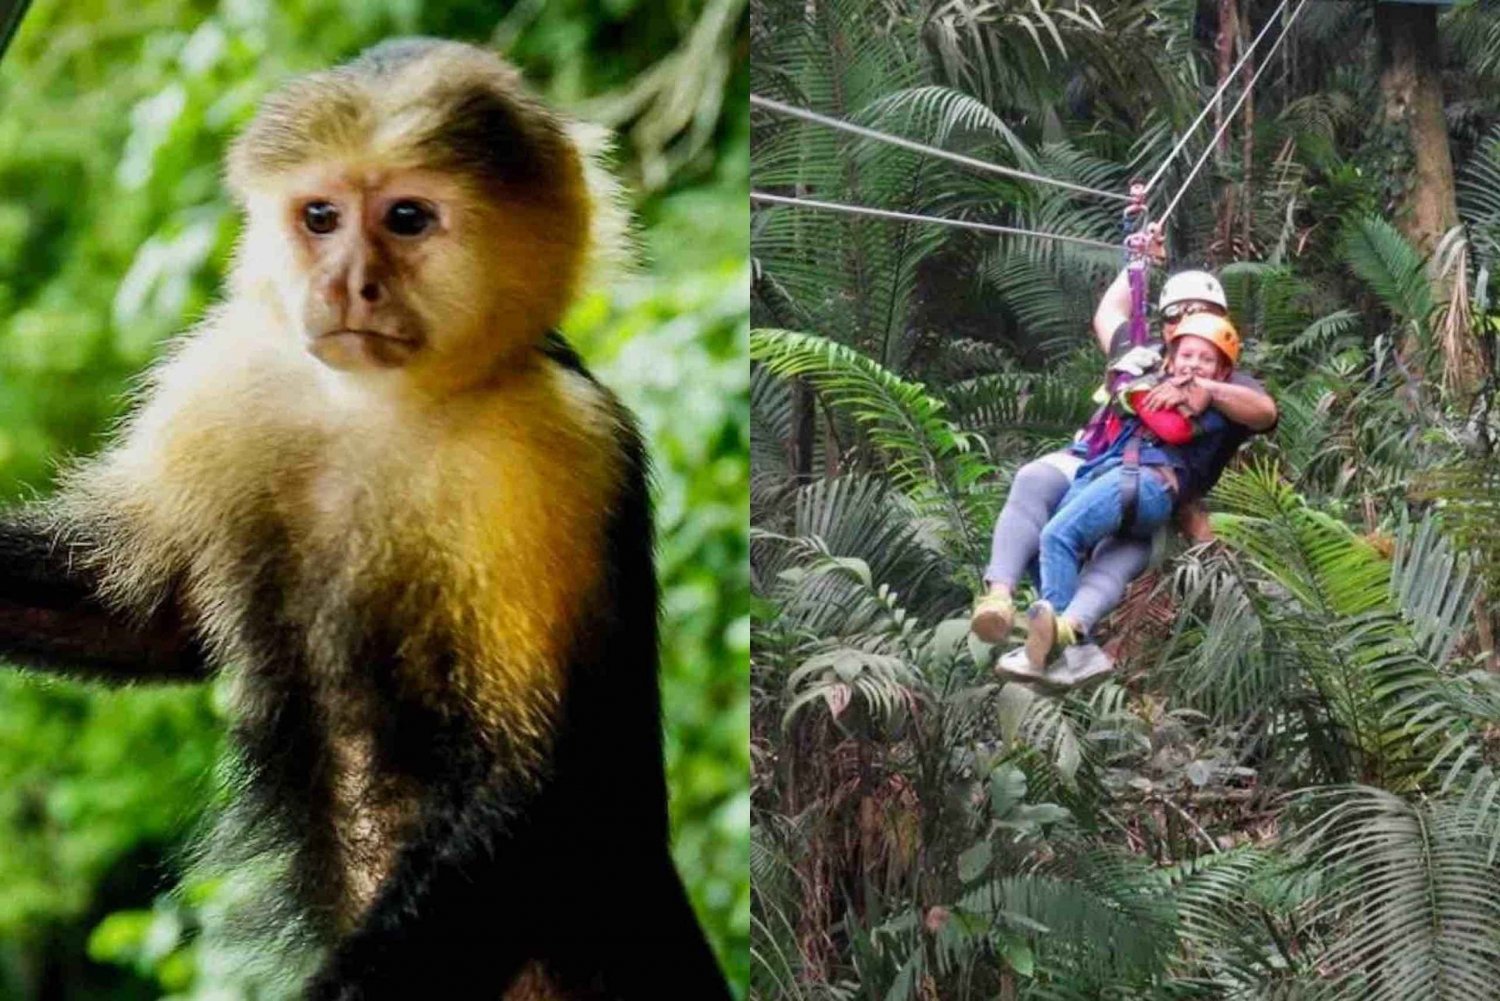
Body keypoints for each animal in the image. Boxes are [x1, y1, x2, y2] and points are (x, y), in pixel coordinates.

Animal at [0, 35, 732, 996]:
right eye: (321, 217)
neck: (381, 408)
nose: (350, 284)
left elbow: (534, 783)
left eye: (408, 218)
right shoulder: (230, 369)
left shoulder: (557, 446)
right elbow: (149, 615)